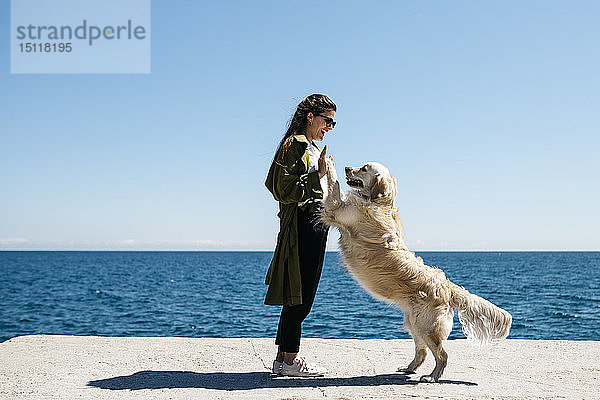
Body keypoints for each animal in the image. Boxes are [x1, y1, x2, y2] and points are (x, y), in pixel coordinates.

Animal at [318, 159, 510, 382]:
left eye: (364, 168)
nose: (348, 168)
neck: (379, 202)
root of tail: (446, 287)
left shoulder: (336, 208)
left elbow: (333, 184)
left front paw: (327, 161)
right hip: (414, 323)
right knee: (422, 351)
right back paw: (409, 368)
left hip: (426, 327)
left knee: (442, 355)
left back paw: (432, 377)